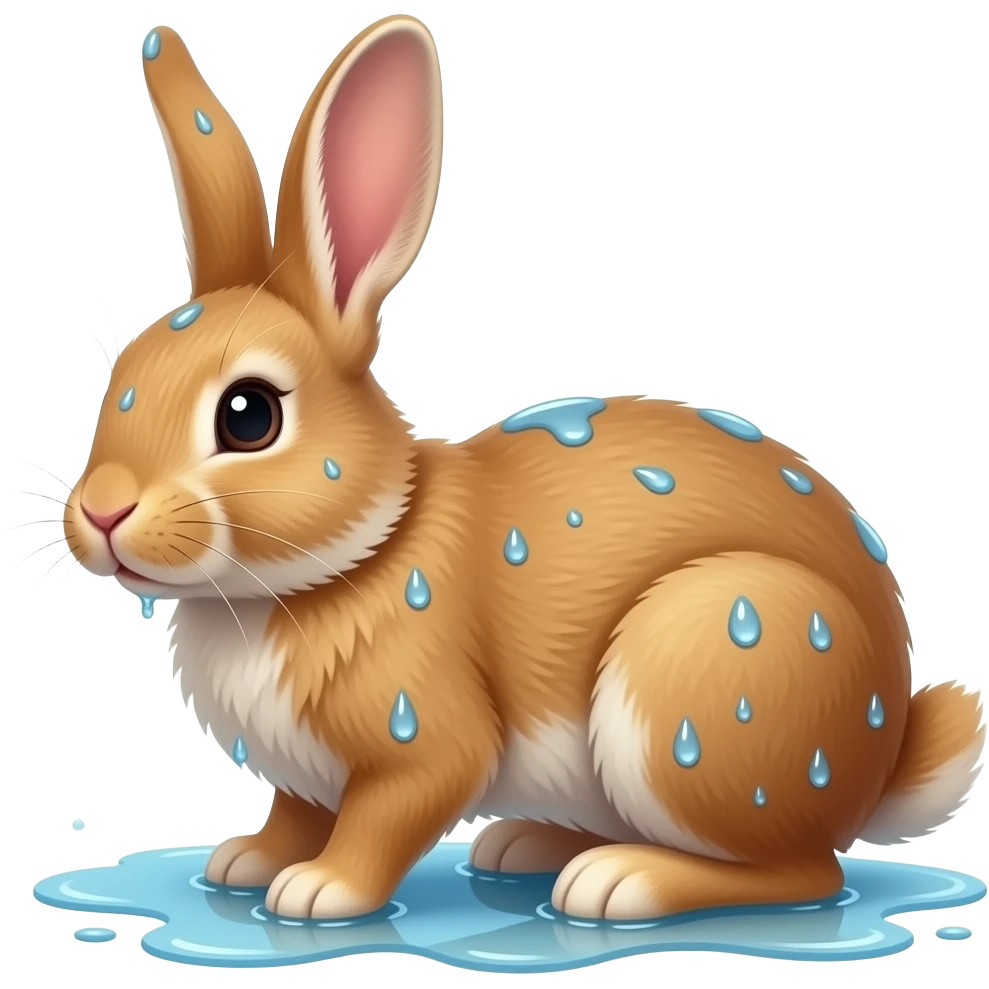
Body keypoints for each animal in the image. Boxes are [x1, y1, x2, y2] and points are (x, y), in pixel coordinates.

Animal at [64, 16, 985, 923]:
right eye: (120, 379)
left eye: (249, 415)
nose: (102, 513)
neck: (354, 553)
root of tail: (882, 760)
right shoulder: (304, 777)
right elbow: (295, 811)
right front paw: (246, 862)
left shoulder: (422, 740)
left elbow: (386, 816)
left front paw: (319, 891)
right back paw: (528, 846)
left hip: (710, 671)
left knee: (802, 872)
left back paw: (618, 880)